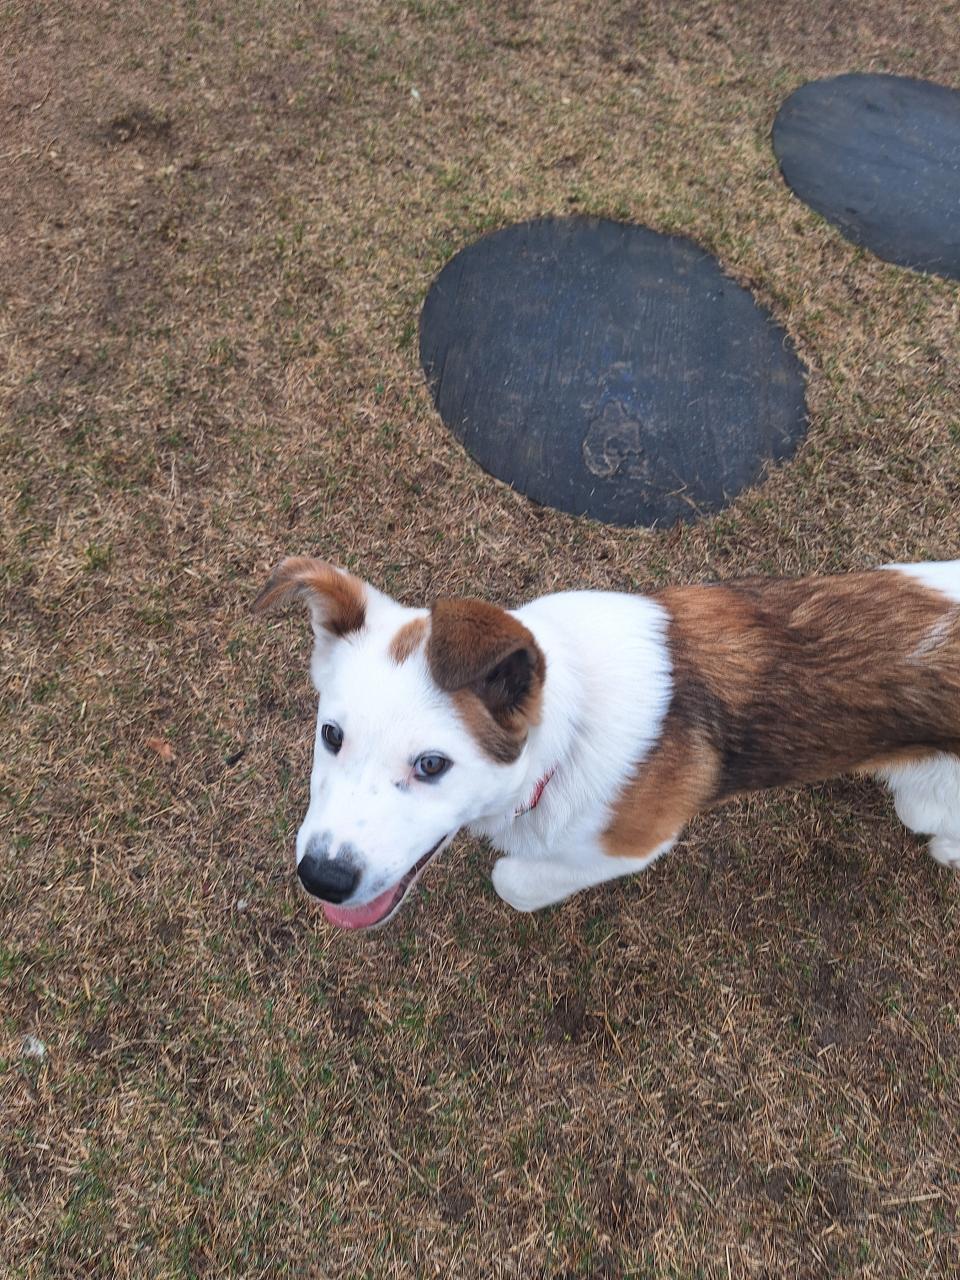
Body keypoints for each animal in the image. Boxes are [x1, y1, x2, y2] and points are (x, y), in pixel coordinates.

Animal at [255, 557, 960, 930]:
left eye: (433, 765)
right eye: (331, 735)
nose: (321, 879)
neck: (568, 736)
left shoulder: (635, 841)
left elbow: (515, 878)